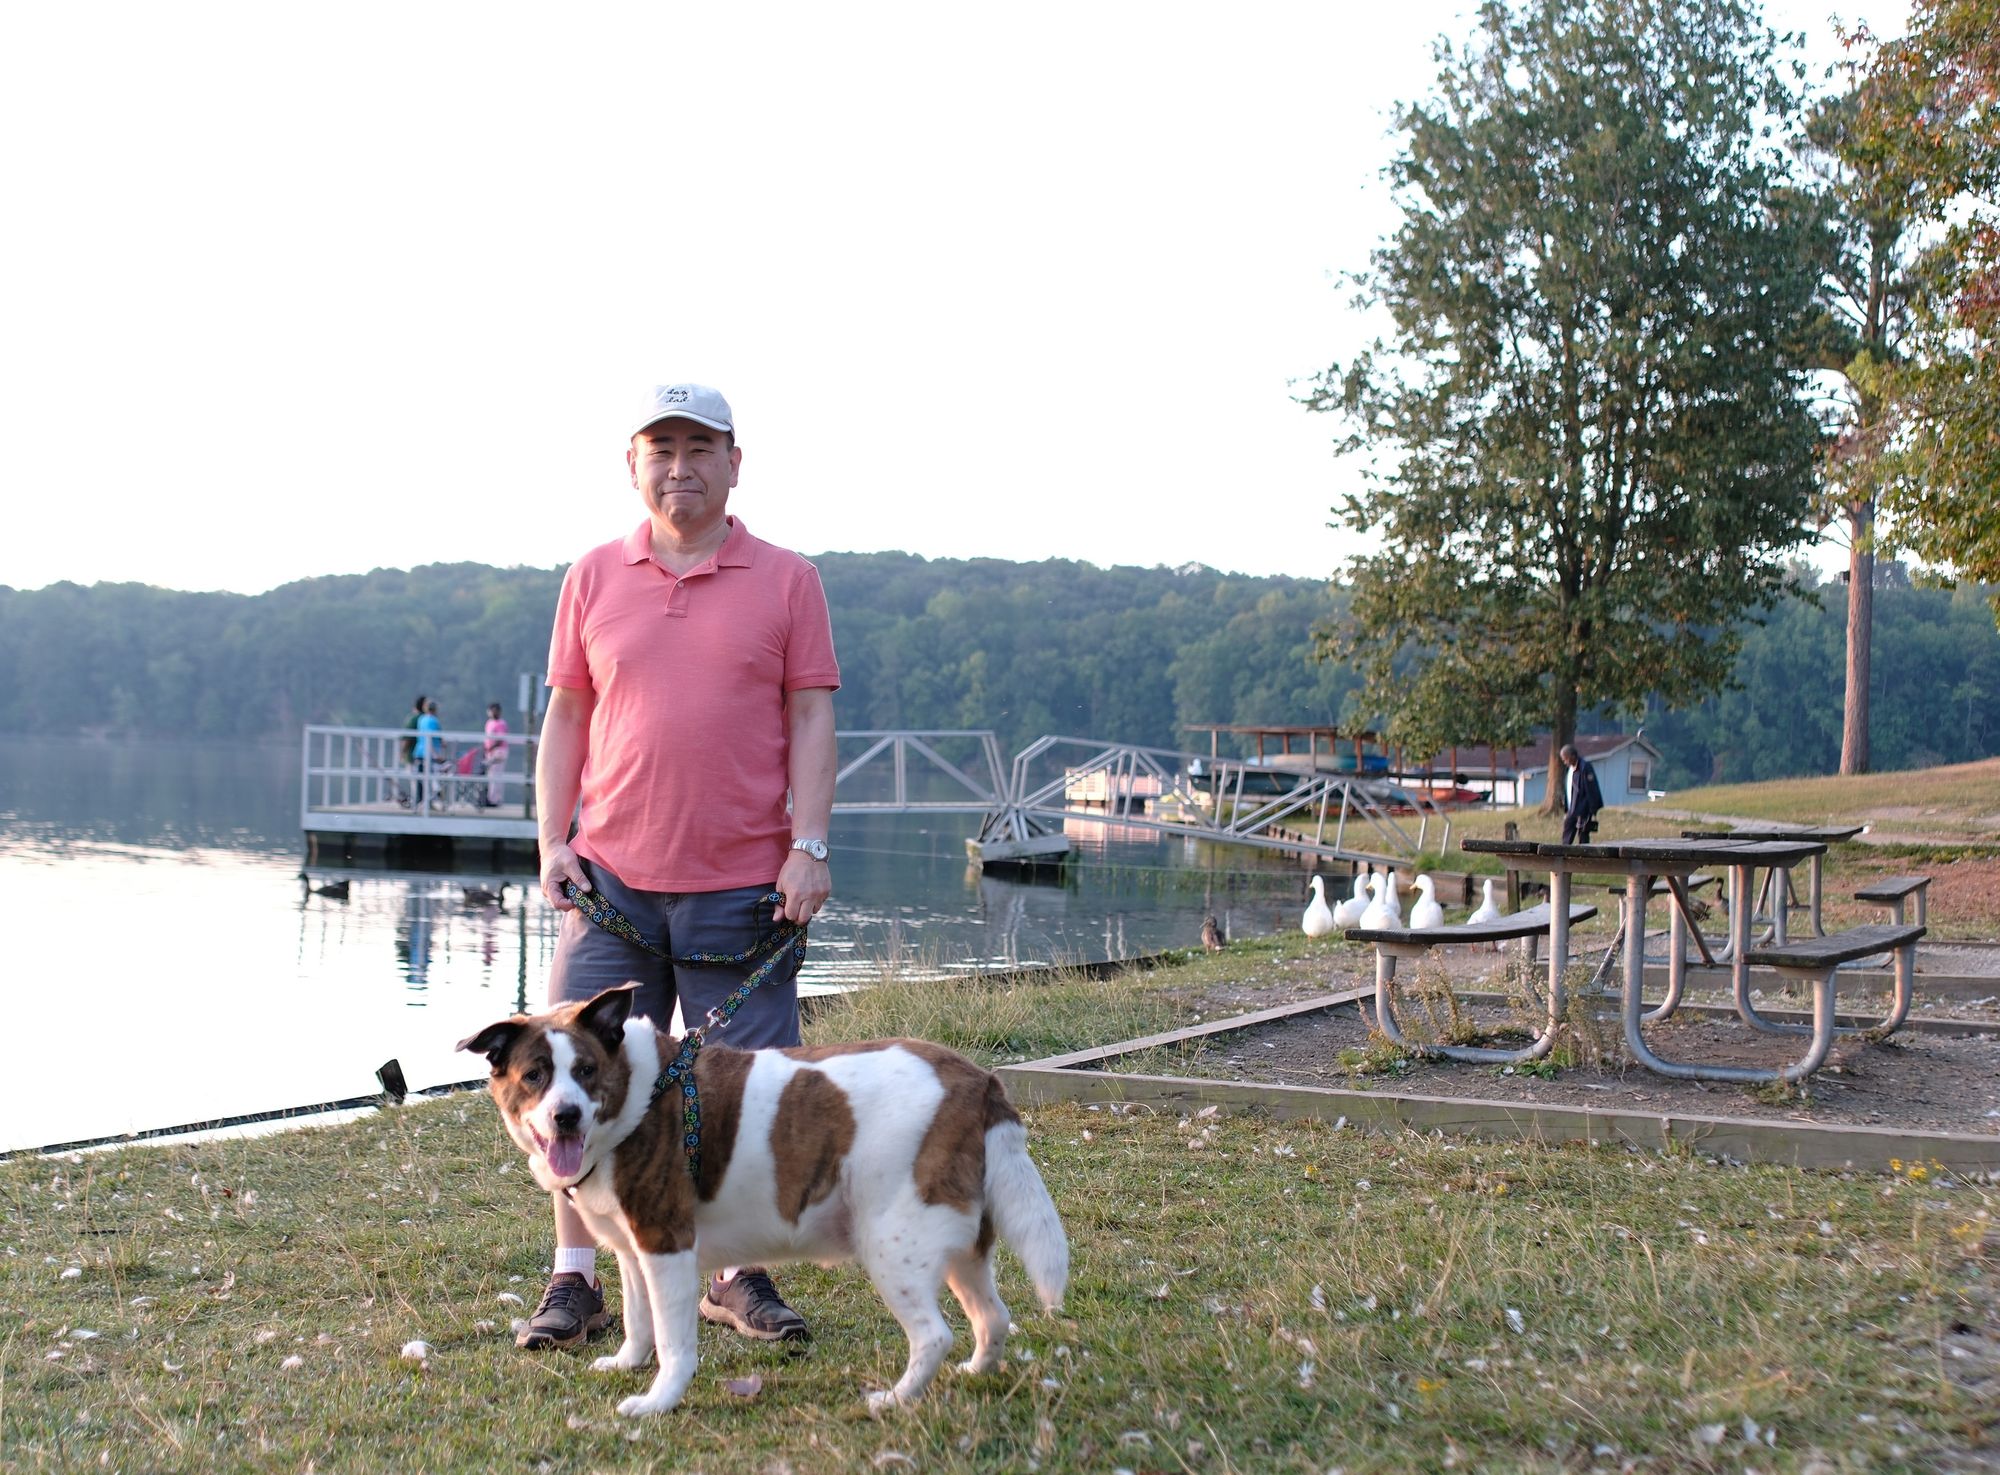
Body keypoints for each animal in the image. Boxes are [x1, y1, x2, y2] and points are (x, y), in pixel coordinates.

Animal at [460, 987, 1072, 1415]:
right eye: (535, 1075)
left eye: (585, 1071)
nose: (566, 1116)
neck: (638, 1094)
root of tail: (976, 1080)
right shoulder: (634, 1252)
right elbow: (638, 1319)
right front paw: (629, 1362)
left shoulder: (667, 1247)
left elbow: (673, 1340)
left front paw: (660, 1400)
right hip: (960, 1244)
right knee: (993, 1317)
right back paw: (977, 1373)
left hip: (892, 1246)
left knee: (934, 1335)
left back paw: (895, 1401)